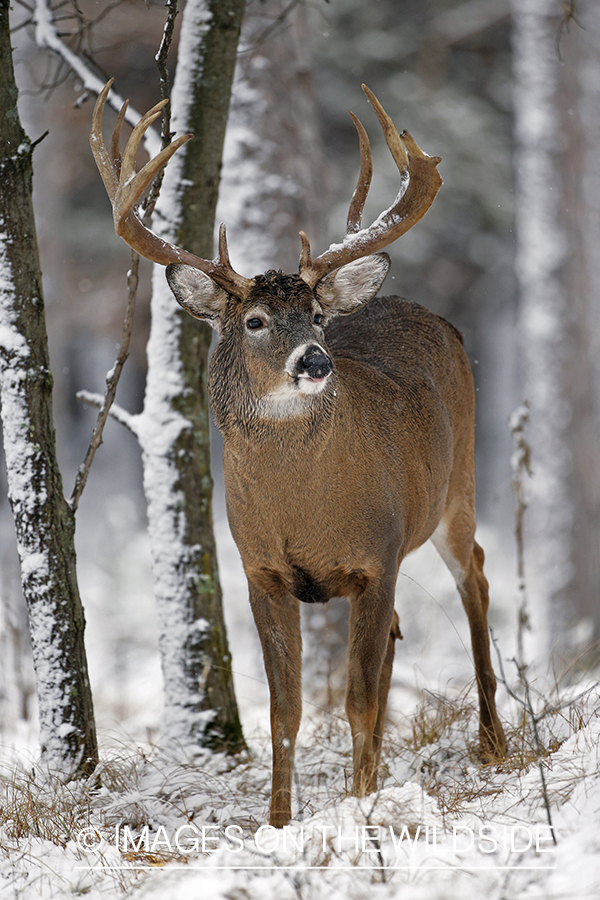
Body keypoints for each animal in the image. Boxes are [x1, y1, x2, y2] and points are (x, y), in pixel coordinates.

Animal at [92, 81, 506, 828]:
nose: (315, 361)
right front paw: (280, 822)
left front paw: (360, 805)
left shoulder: (375, 556)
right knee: (397, 637)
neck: (302, 509)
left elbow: (357, 702)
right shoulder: (262, 572)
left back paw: (493, 742)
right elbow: (284, 711)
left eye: (315, 316)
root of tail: (438, 318)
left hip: (455, 488)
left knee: (477, 578)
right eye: (255, 321)